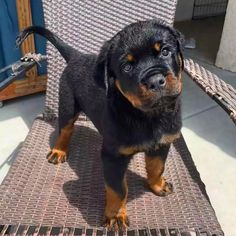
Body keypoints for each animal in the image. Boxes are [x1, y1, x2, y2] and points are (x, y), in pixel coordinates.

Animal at [17, 20, 185, 230]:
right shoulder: (113, 157)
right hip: (67, 105)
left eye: (165, 51)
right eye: (127, 67)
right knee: (65, 129)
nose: (155, 81)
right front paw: (116, 215)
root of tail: (77, 56)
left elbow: (157, 167)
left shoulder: (163, 143)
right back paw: (59, 150)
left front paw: (157, 185)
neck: (149, 116)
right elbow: (118, 189)